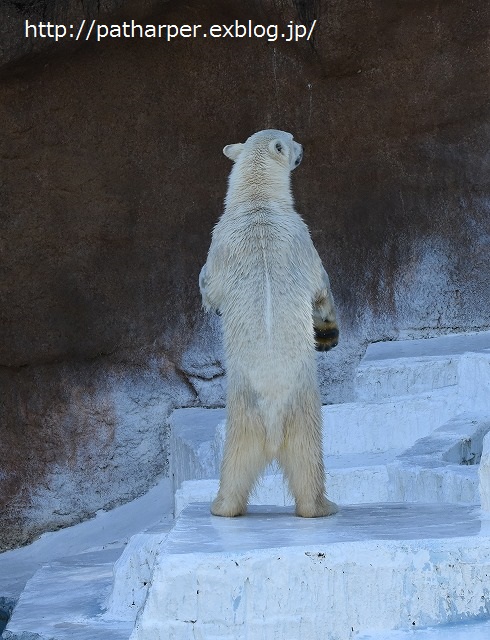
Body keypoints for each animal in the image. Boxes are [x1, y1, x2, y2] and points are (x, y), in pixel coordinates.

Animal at [198, 130, 336, 520]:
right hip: (299, 404)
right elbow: (320, 285)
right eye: (292, 140)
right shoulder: (300, 236)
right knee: (308, 457)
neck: (256, 203)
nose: (304, 148)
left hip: (247, 413)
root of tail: (272, 416)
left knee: (238, 462)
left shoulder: (220, 240)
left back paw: (223, 506)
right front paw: (328, 329)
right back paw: (322, 506)